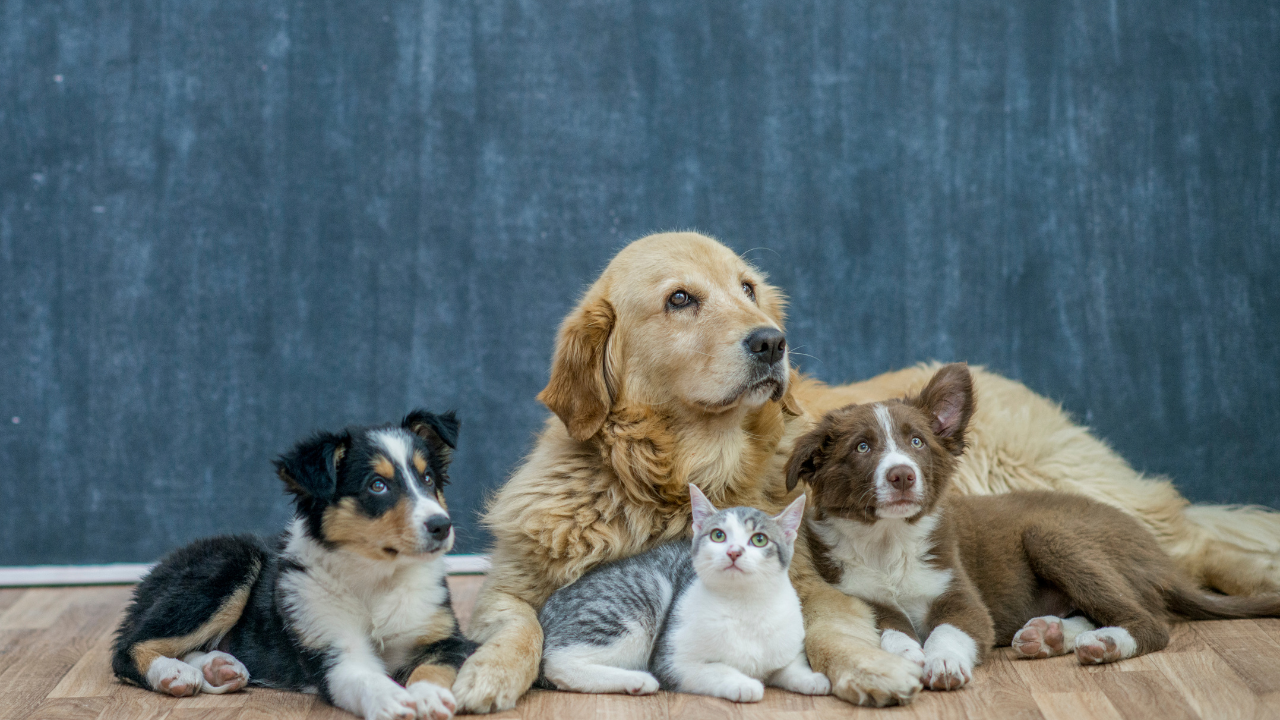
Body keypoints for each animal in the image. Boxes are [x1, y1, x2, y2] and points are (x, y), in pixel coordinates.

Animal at [112, 409, 476, 717]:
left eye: (428, 480)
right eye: (377, 485)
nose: (442, 526)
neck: (377, 577)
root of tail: (155, 569)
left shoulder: (447, 638)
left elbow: (433, 666)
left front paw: (427, 696)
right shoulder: (332, 648)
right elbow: (364, 678)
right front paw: (392, 699)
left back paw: (217, 668)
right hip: (229, 562)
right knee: (125, 648)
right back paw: (173, 673)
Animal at [532, 484, 824, 696]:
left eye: (759, 540)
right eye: (718, 535)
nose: (734, 552)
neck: (744, 605)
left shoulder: (788, 647)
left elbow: (791, 667)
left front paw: (812, 679)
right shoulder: (671, 661)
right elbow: (715, 670)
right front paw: (744, 684)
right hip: (644, 595)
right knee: (558, 662)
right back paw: (636, 680)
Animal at [788, 363, 1280, 691]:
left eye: (917, 442)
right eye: (862, 447)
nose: (902, 476)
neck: (890, 543)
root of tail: (1162, 560)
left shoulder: (964, 599)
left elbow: (950, 630)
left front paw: (942, 664)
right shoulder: (863, 597)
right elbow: (893, 630)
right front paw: (909, 655)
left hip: (1051, 534)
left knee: (1149, 620)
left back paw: (1105, 643)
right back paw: (1051, 634)